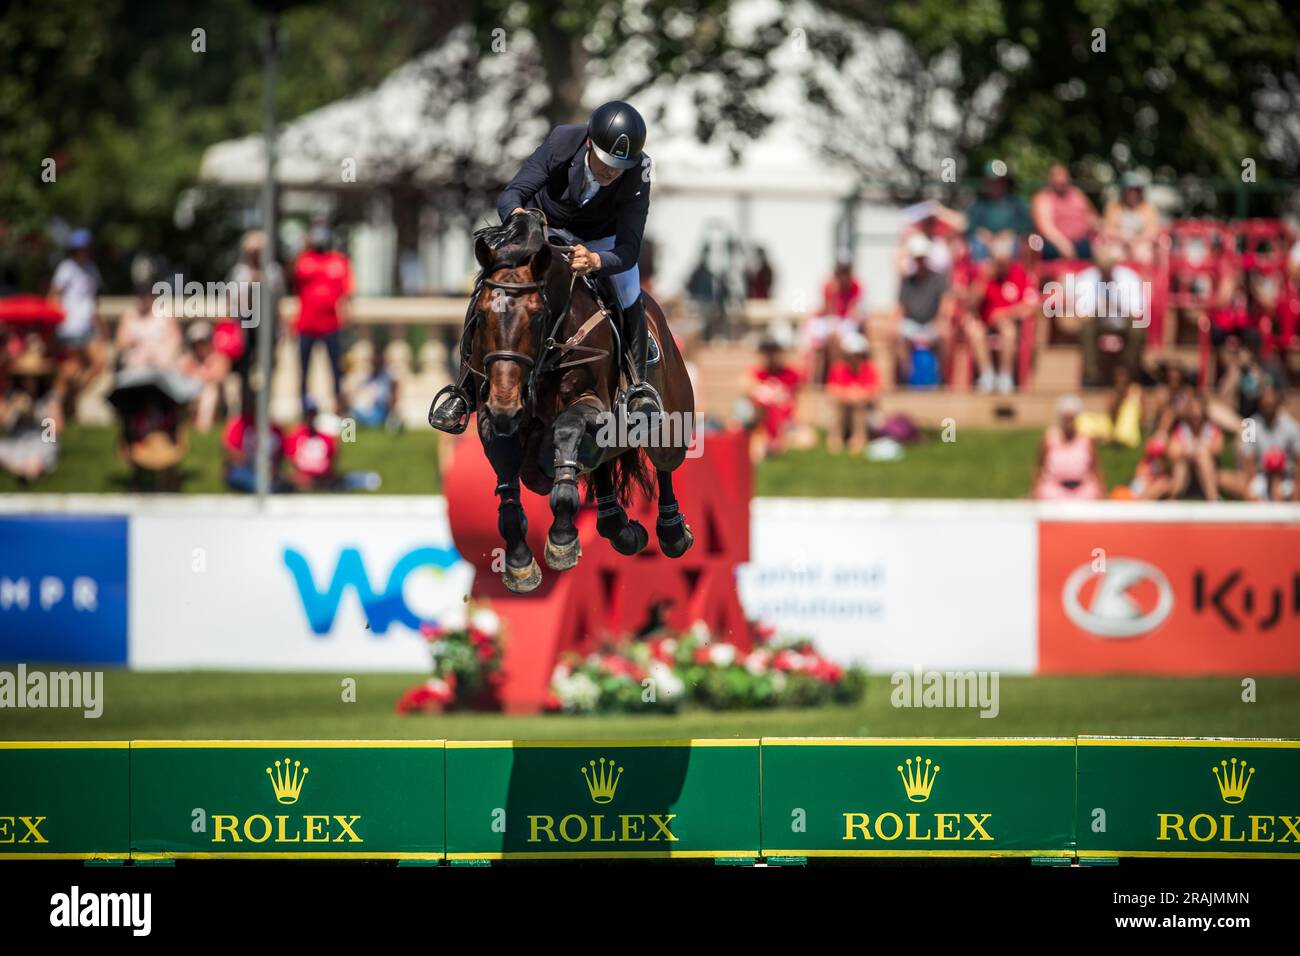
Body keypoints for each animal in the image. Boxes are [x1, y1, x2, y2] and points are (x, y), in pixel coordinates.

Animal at [462, 209, 696, 590]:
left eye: (537, 316)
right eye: (480, 315)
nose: (506, 405)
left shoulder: (592, 404)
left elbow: (567, 430)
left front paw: (562, 540)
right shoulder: (490, 419)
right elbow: (509, 484)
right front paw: (520, 563)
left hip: (670, 427)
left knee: (663, 464)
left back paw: (672, 531)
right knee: (599, 464)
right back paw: (620, 528)